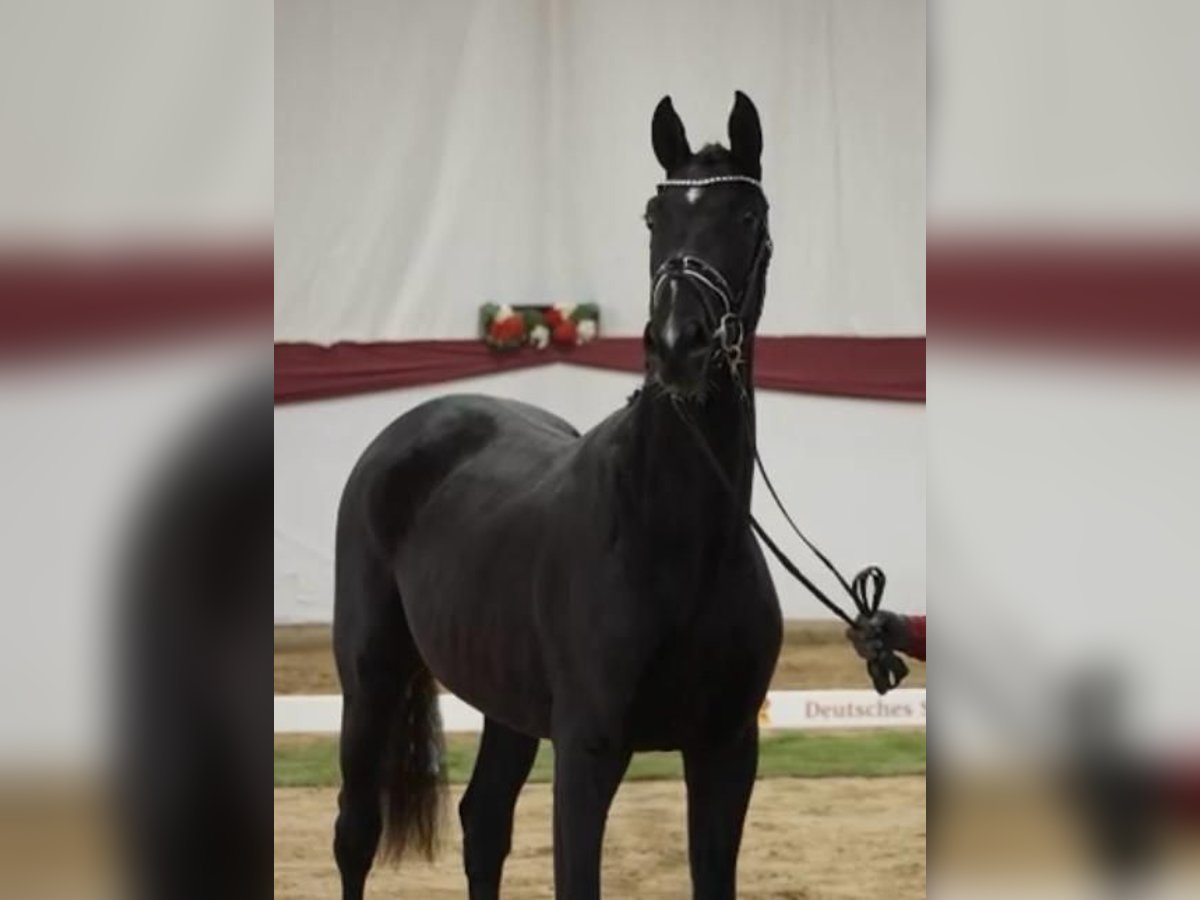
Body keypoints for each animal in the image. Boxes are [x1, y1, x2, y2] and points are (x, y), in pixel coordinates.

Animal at [333, 90, 782, 900]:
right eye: (653, 216)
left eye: (745, 216)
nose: (681, 344)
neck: (674, 535)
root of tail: (414, 428)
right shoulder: (587, 751)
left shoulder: (727, 752)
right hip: (368, 677)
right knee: (357, 833)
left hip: (506, 705)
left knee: (483, 824)